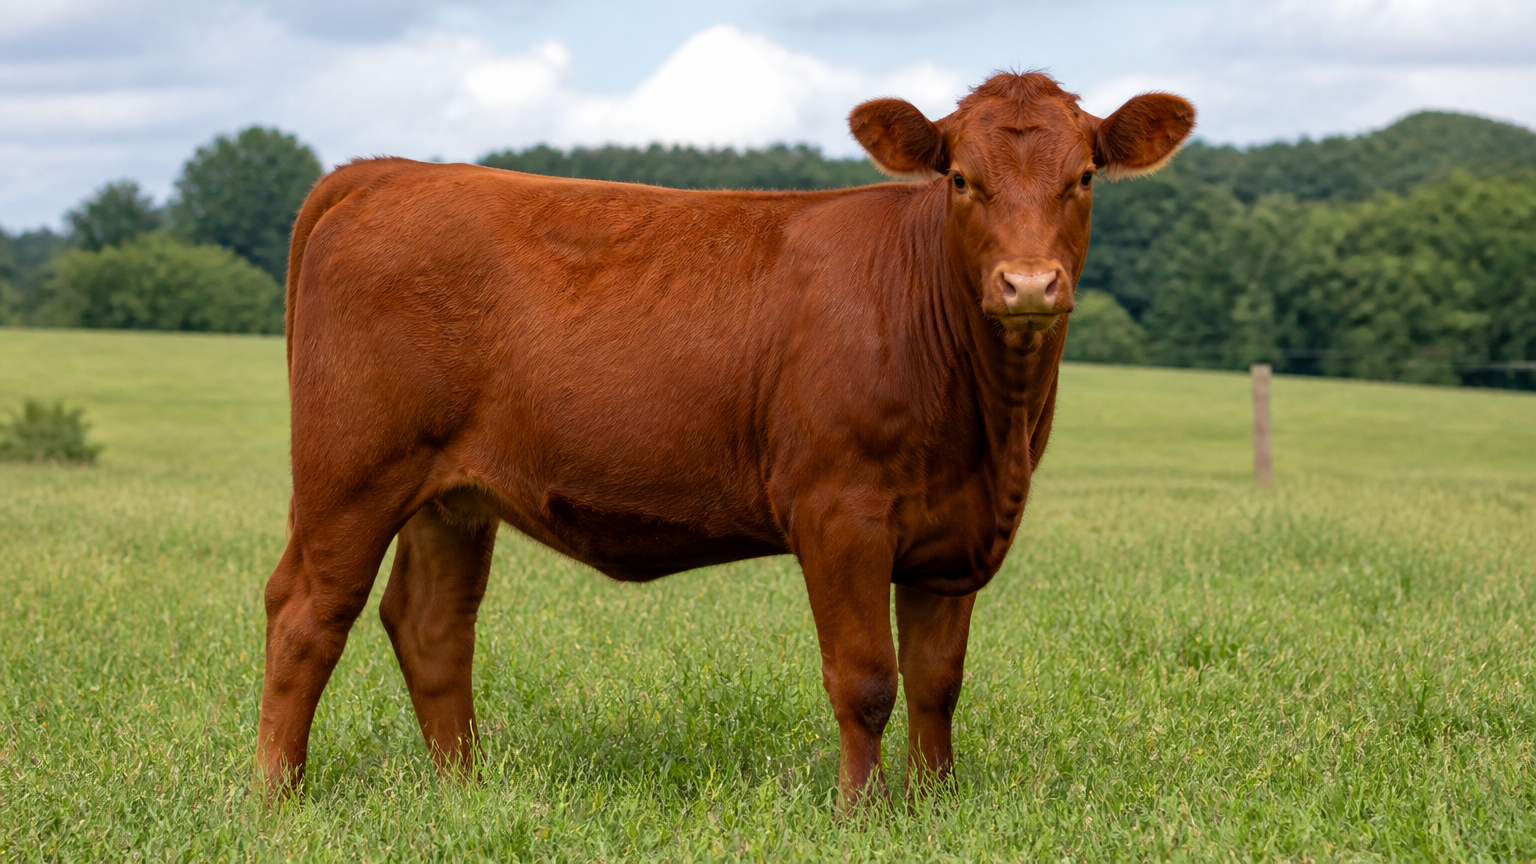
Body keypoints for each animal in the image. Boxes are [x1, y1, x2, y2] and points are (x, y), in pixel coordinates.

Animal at [256, 71, 1195, 806]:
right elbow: (866, 679)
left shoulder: (950, 535)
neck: (991, 430)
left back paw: (465, 788)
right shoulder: (839, 511)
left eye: (1084, 176)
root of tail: (389, 173)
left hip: (453, 495)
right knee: (307, 611)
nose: (1028, 284)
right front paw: (864, 814)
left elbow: (937, 681)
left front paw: (936, 803)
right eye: (962, 178)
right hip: (352, 471)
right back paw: (277, 797)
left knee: (432, 623)